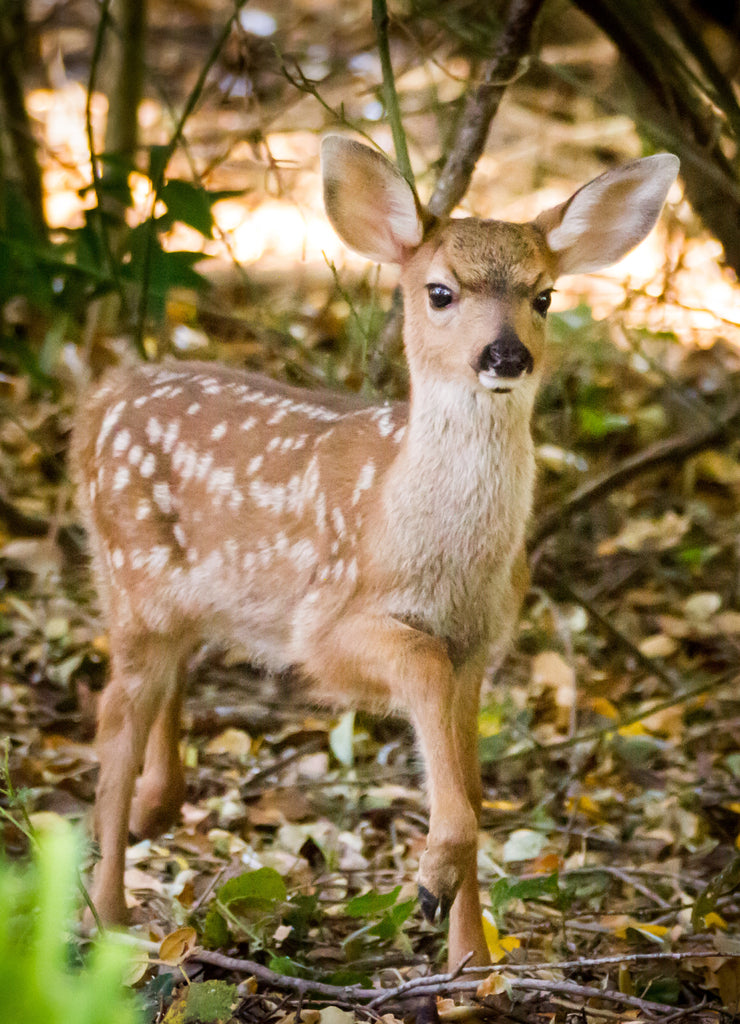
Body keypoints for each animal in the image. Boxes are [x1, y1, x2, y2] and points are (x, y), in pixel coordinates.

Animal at [72, 138, 679, 966]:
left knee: (167, 681)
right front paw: (433, 887)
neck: (426, 542)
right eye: (440, 291)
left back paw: (156, 813)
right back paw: (109, 919)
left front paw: (471, 965)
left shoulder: (480, 647)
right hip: (133, 579)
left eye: (545, 296)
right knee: (112, 732)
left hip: (173, 598)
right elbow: (423, 691)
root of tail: (103, 397)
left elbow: (470, 788)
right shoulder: (328, 629)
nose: (505, 354)